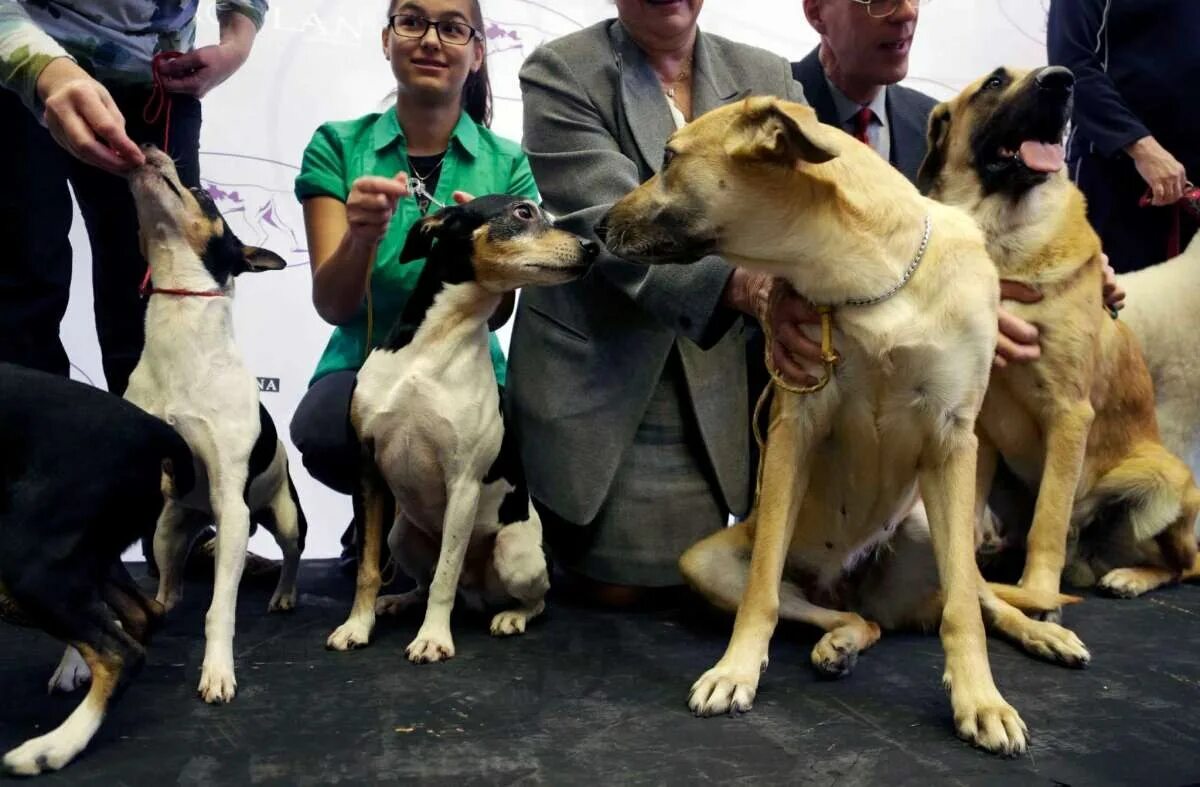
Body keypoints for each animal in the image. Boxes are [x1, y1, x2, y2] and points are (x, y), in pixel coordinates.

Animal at [0, 364, 192, 772]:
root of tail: (154, 430)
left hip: (29, 561)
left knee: (121, 653)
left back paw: (54, 747)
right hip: (90, 557)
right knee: (144, 612)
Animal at [328, 196, 595, 662]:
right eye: (523, 212)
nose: (592, 246)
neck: (435, 345)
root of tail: (479, 593)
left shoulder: (463, 482)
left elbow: (445, 576)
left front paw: (433, 638)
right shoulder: (366, 472)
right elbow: (368, 569)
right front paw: (358, 626)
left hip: (515, 554)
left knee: (535, 599)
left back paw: (510, 617)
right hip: (402, 535)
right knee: (422, 580)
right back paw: (399, 601)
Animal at [600, 96, 1089, 758]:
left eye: (670, 158)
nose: (595, 228)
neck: (869, 280)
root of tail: (847, 584)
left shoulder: (954, 442)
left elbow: (964, 610)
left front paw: (982, 701)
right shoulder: (793, 431)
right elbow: (761, 592)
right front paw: (735, 671)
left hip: (933, 527)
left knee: (980, 597)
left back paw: (1041, 634)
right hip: (708, 562)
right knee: (858, 619)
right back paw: (839, 642)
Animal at [916, 67, 1200, 604]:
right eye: (995, 82)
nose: (1062, 80)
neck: (1004, 242)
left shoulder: (1069, 415)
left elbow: (1047, 520)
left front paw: (1037, 592)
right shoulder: (977, 428)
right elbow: (967, 514)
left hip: (1162, 477)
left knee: (1183, 565)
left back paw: (1129, 577)